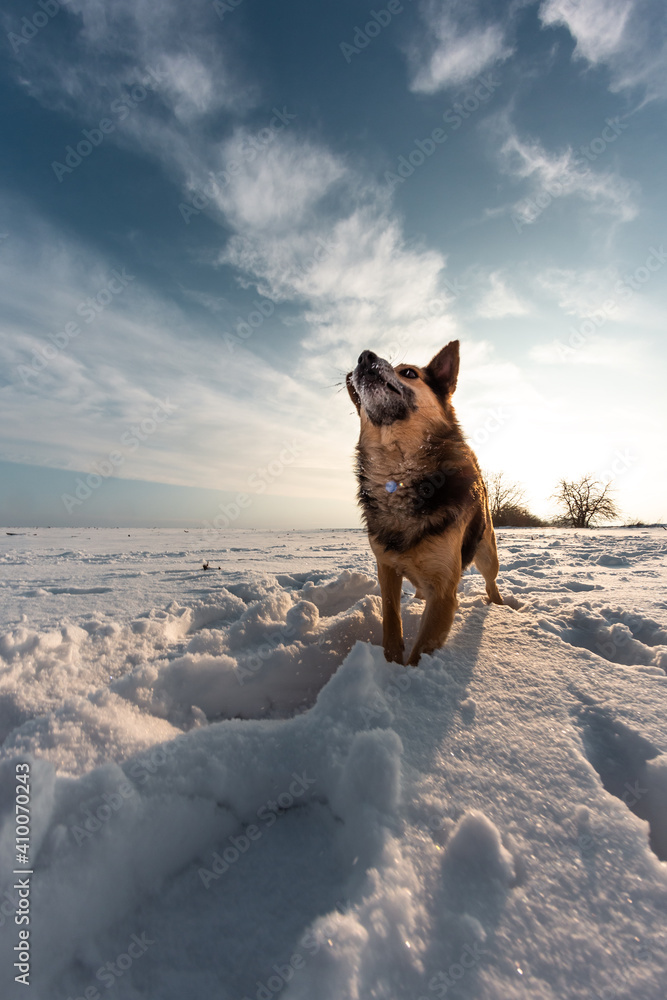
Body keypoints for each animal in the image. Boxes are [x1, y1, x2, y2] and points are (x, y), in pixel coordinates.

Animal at [350, 340, 500, 668]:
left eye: (409, 373)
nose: (364, 356)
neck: (399, 472)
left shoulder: (444, 592)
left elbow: (421, 652)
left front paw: (407, 677)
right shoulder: (387, 570)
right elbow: (391, 621)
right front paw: (391, 662)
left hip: (487, 555)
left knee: (491, 581)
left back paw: (500, 606)